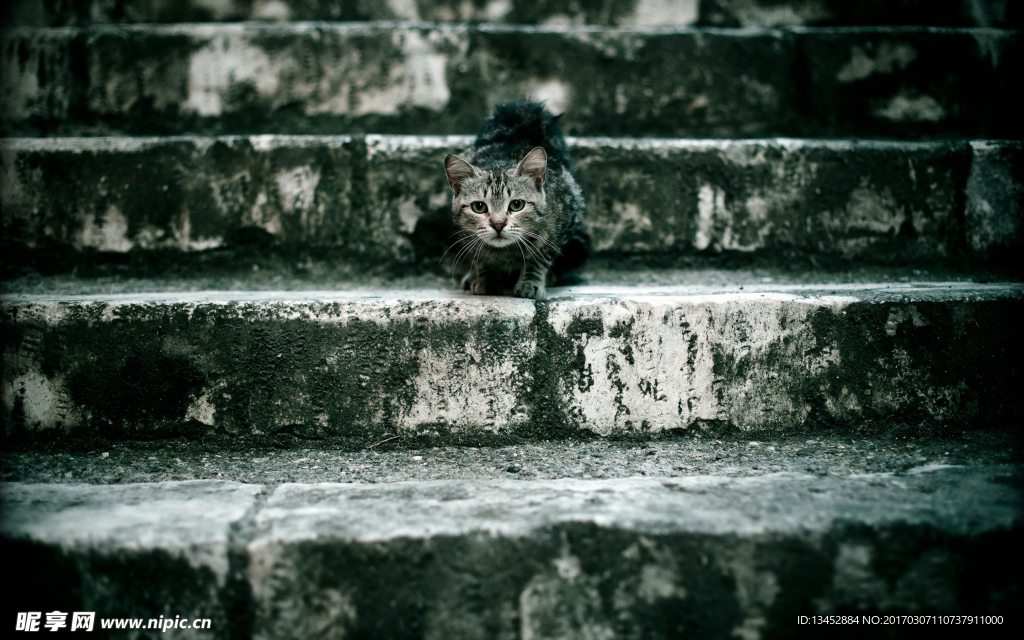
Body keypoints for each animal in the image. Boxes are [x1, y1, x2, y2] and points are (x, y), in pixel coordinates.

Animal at [442, 100, 593, 299]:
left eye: (516, 205)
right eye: (479, 207)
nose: (498, 224)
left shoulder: (564, 219)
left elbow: (539, 256)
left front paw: (530, 282)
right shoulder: (465, 233)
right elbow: (482, 257)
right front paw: (487, 279)